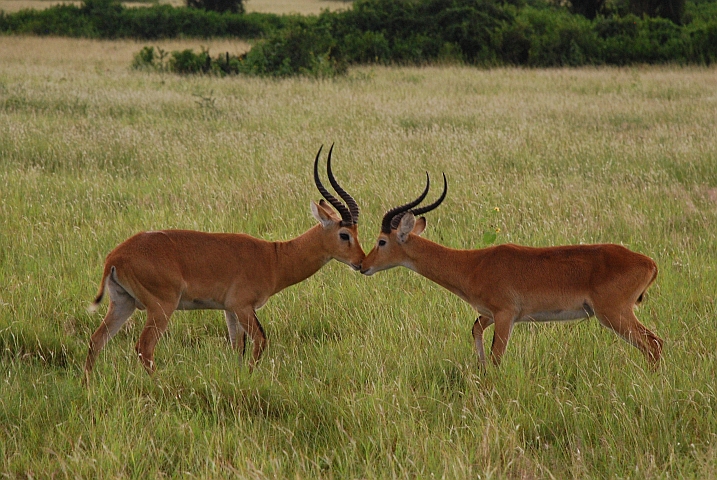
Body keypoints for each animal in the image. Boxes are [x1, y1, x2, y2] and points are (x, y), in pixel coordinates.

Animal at [84, 144, 364, 376]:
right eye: (344, 234)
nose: (362, 262)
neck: (273, 257)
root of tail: (116, 256)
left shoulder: (229, 310)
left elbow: (236, 347)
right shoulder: (243, 307)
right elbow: (260, 341)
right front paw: (250, 377)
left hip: (123, 303)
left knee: (97, 340)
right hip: (161, 307)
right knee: (144, 347)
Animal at [360, 174, 664, 370]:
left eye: (381, 241)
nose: (363, 265)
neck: (473, 264)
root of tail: (649, 262)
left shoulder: (506, 315)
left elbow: (497, 357)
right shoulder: (488, 313)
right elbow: (475, 331)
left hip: (614, 314)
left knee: (654, 344)